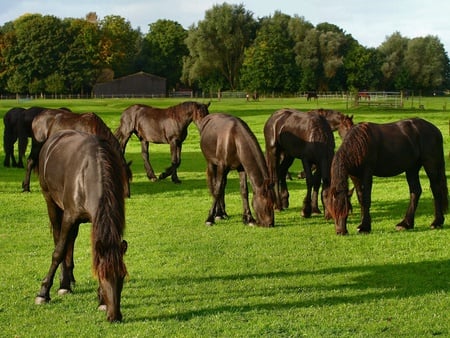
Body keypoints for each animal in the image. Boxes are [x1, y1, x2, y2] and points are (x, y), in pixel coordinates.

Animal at [35, 129, 128, 322]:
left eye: (122, 275)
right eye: (102, 276)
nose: (114, 316)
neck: (90, 174)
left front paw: (101, 301)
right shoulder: (69, 216)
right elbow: (58, 252)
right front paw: (43, 293)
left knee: (71, 241)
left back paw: (68, 279)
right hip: (51, 202)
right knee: (59, 239)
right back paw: (63, 283)